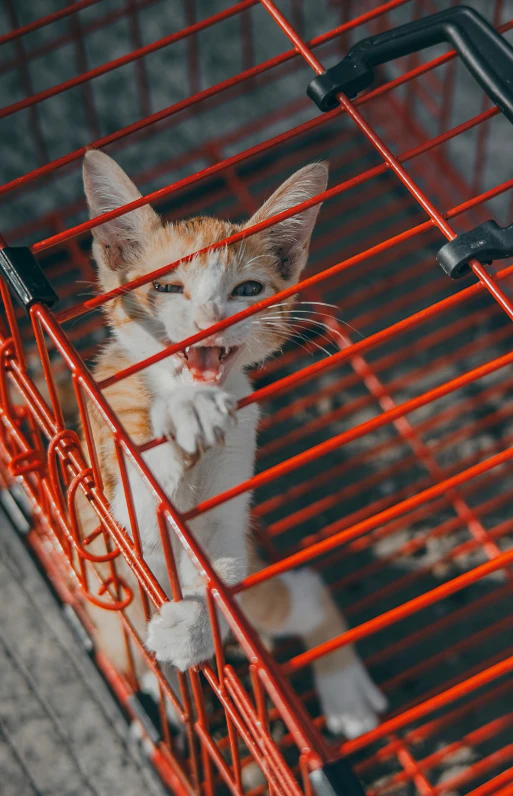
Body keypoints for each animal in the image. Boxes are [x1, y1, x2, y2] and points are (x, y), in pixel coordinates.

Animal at [79, 151, 384, 740]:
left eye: (247, 289)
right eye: (166, 288)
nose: (209, 319)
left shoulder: (233, 490)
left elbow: (221, 568)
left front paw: (198, 625)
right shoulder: (108, 481)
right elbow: (138, 507)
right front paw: (184, 414)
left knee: (302, 590)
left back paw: (342, 688)